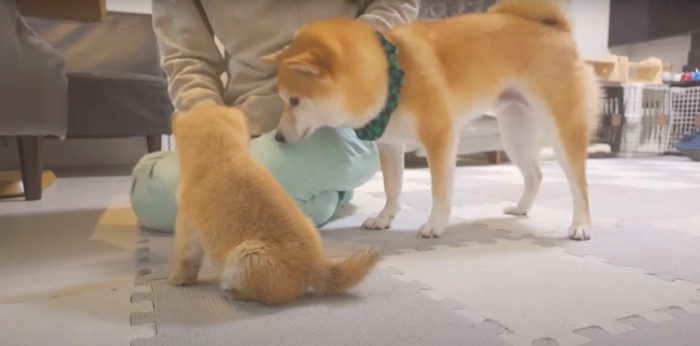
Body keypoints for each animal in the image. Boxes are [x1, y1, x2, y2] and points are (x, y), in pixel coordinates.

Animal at [170, 104, 380, 306]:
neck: (222, 152)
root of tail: (317, 264)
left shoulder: (187, 229)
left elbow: (186, 261)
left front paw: (177, 280)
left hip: (245, 257)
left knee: (262, 296)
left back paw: (234, 291)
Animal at [262, 0, 600, 241]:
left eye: (295, 101)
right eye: (283, 99)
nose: (278, 138)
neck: (390, 74)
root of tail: (559, 29)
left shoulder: (440, 139)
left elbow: (440, 191)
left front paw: (435, 224)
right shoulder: (390, 145)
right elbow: (392, 188)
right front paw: (384, 218)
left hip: (561, 131)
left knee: (580, 186)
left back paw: (581, 226)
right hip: (514, 134)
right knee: (536, 176)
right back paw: (521, 209)